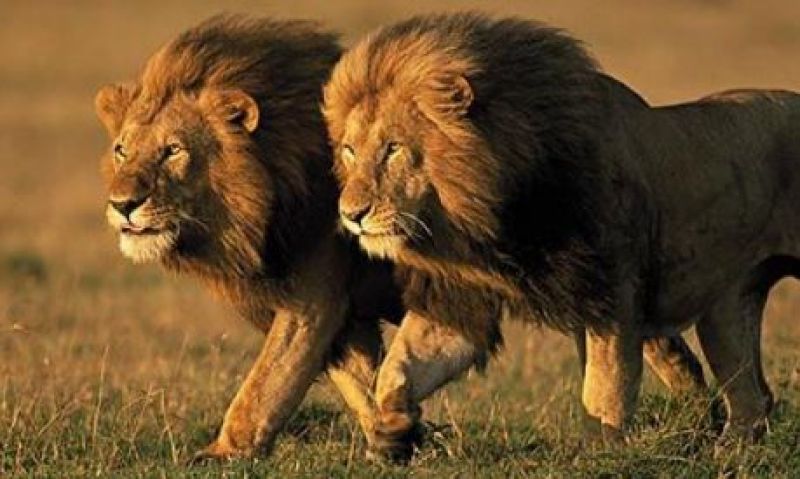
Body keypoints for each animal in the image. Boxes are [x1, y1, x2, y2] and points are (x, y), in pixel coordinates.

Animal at [93, 15, 409, 460]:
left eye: (173, 150)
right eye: (121, 150)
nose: (122, 204)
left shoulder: (313, 299)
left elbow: (265, 384)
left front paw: (223, 453)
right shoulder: (344, 314)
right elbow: (362, 380)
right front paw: (397, 440)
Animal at [324, 12, 800, 457]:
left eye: (393, 148)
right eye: (349, 150)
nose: (350, 214)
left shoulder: (613, 291)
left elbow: (604, 386)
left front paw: (602, 453)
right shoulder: (462, 293)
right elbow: (398, 370)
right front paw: (391, 433)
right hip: (727, 310)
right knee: (752, 399)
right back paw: (730, 451)